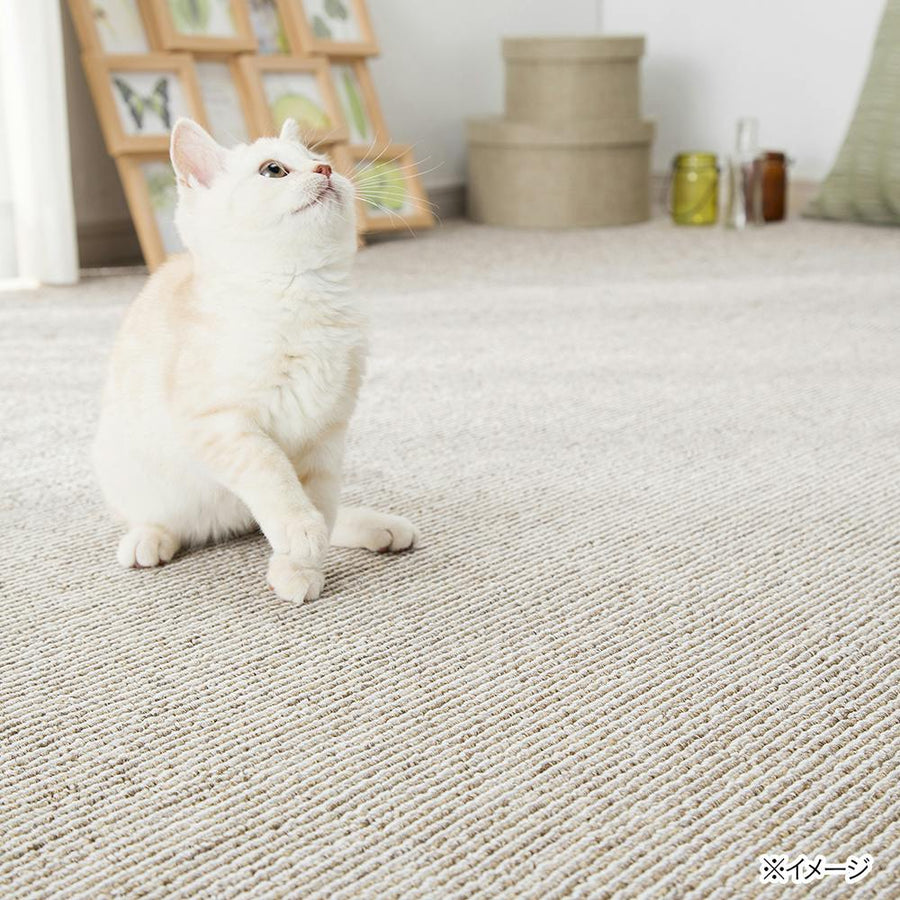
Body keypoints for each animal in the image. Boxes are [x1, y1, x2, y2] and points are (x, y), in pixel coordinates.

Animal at [93, 116, 416, 600]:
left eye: (320, 159)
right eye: (273, 170)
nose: (325, 171)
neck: (299, 293)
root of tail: (228, 521)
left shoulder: (326, 433)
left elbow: (318, 501)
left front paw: (301, 566)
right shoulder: (223, 426)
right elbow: (274, 477)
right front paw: (300, 535)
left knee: (327, 513)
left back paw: (377, 527)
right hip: (133, 470)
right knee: (165, 518)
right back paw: (148, 538)